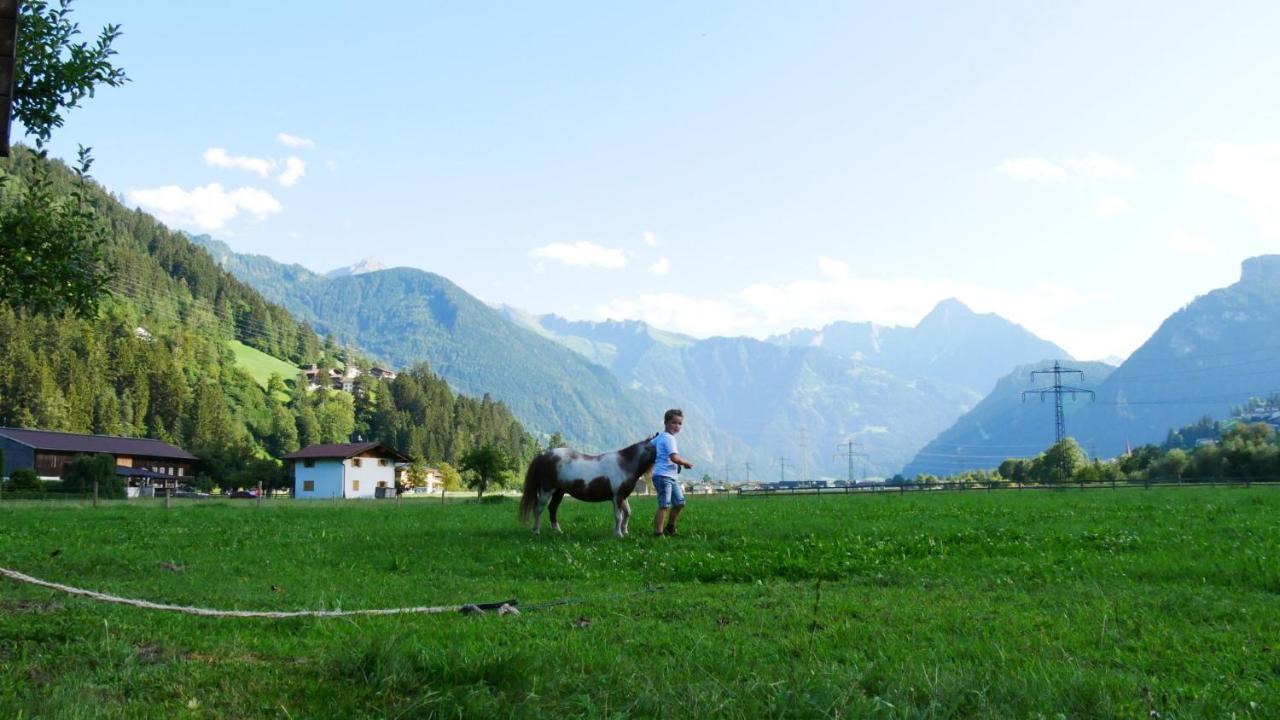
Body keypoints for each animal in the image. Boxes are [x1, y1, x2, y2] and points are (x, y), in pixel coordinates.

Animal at [519, 430, 660, 538]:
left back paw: (557, 531)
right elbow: (618, 516)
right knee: (538, 509)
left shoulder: (622, 497)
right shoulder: (617, 497)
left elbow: (627, 513)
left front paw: (624, 531)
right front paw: (619, 534)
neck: (624, 464)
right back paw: (536, 531)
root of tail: (543, 456)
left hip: (559, 492)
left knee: (552, 509)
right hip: (546, 490)